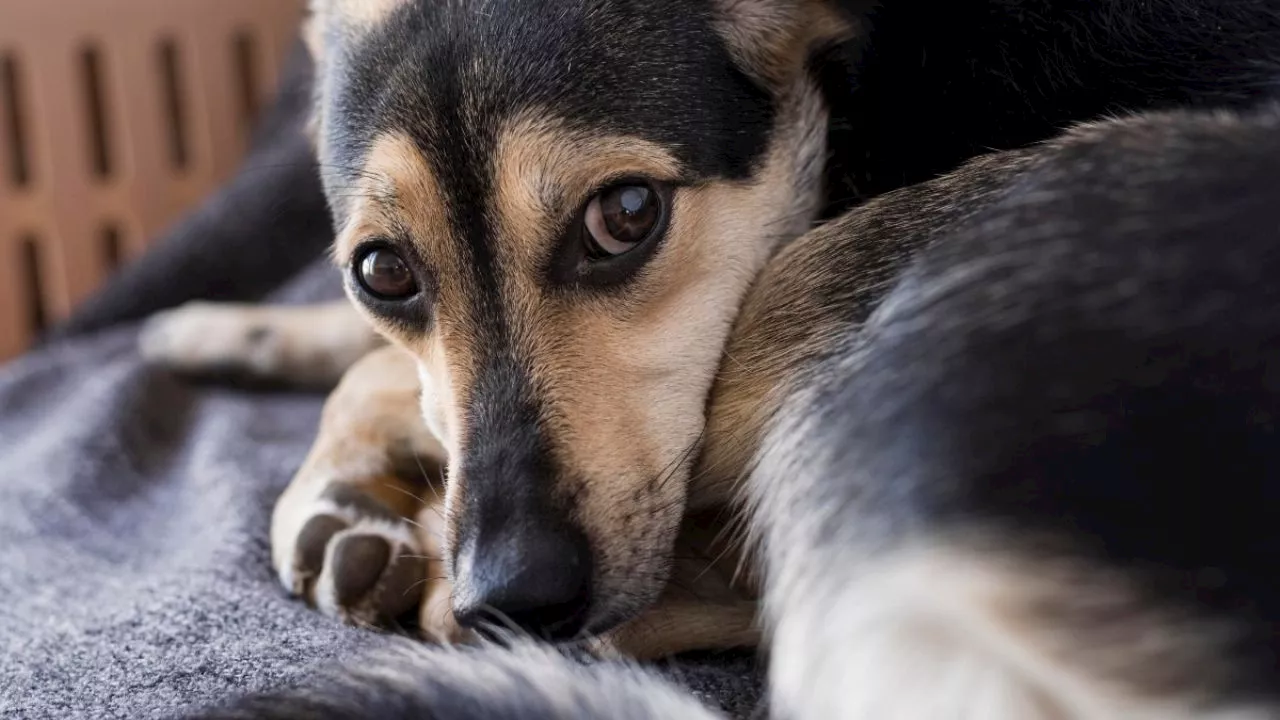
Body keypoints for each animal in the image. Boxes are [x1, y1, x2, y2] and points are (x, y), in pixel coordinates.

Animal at [142, 0, 1280, 712]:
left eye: (626, 214)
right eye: (382, 272)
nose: (512, 596)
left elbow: (374, 375)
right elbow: (371, 356)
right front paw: (221, 329)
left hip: (880, 256)